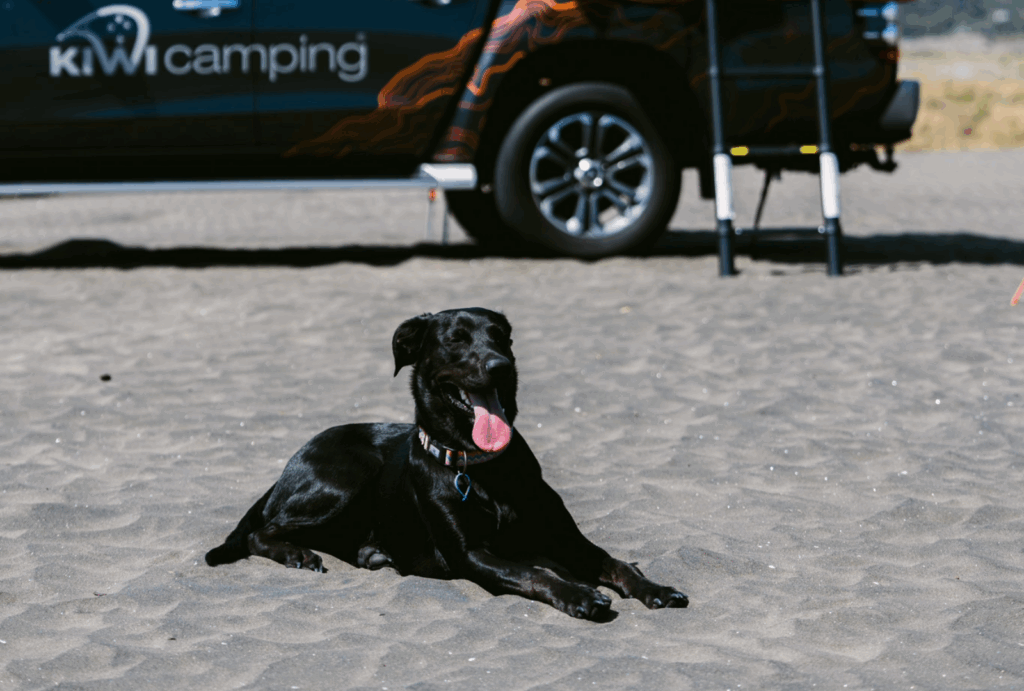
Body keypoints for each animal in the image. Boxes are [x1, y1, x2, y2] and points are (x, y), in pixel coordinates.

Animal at [206, 307, 687, 619]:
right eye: (455, 339)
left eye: (502, 337)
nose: (501, 365)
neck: (480, 466)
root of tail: (286, 469)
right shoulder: (470, 553)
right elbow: (533, 571)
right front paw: (579, 594)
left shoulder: (567, 540)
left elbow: (617, 563)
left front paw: (656, 588)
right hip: (347, 477)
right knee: (263, 531)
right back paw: (297, 554)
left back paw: (369, 552)